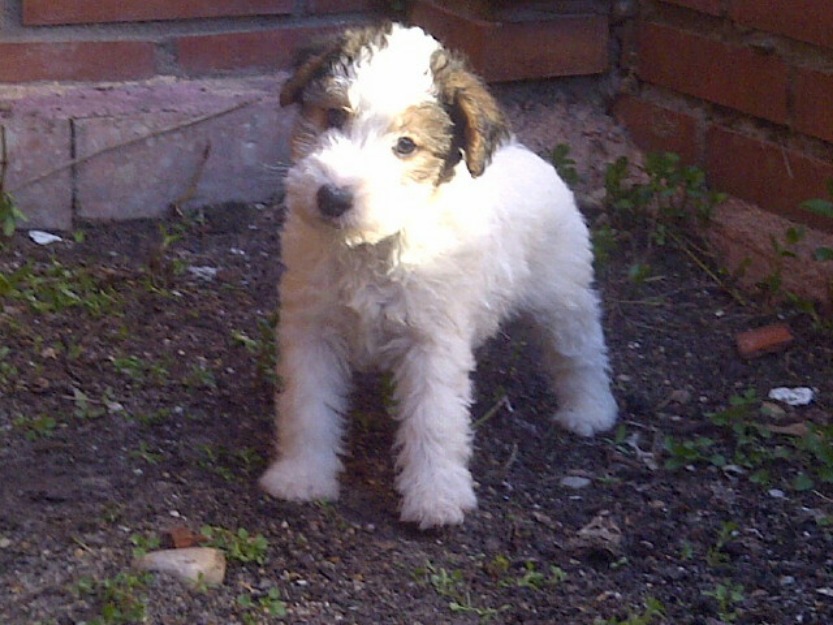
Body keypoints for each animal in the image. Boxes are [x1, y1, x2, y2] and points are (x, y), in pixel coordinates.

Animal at [260, 22, 616, 528]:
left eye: (406, 145)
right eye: (333, 116)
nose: (332, 197)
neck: (372, 247)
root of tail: (526, 153)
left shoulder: (433, 344)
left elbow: (434, 421)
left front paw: (436, 497)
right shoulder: (313, 332)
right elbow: (307, 408)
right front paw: (301, 477)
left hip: (563, 298)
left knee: (581, 353)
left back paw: (589, 411)